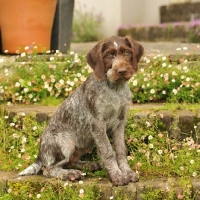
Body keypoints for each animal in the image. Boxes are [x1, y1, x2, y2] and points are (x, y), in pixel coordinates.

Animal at [19, 35, 144, 186]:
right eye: (109, 55)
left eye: (127, 52)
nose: (122, 71)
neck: (115, 89)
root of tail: (40, 155)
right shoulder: (98, 124)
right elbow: (108, 152)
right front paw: (117, 176)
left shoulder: (120, 123)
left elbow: (120, 151)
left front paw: (127, 172)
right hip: (67, 143)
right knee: (48, 169)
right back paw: (69, 174)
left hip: (84, 143)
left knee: (70, 161)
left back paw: (88, 165)